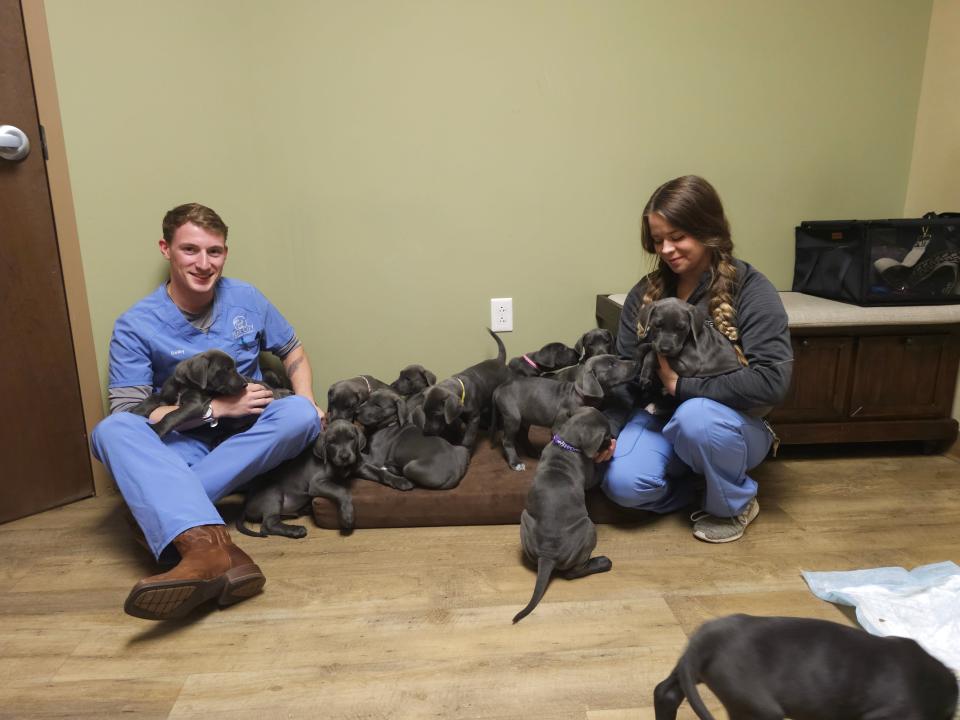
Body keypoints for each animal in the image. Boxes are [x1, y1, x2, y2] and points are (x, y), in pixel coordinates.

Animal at [238, 416, 414, 536]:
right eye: (332, 442)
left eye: (351, 438)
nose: (345, 456)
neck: (341, 466)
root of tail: (246, 505)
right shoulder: (317, 483)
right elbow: (343, 491)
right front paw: (347, 516)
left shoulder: (360, 466)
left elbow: (381, 472)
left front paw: (400, 481)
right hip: (273, 492)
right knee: (268, 524)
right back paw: (295, 530)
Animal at [496, 354, 636, 472]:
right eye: (611, 365)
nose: (635, 363)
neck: (580, 394)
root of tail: (500, 388)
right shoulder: (558, 426)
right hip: (512, 417)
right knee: (507, 440)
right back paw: (515, 462)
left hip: (526, 418)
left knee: (522, 435)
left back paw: (532, 451)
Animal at [512, 410, 612, 624]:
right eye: (606, 437)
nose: (613, 439)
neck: (567, 443)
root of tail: (548, 555)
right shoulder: (590, 476)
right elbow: (596, 475)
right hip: (589, 529)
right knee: (574, 572)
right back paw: (603, 562)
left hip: (524, 518)